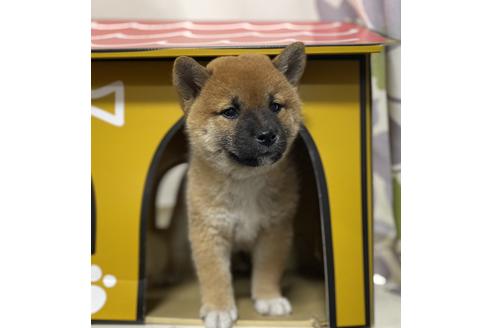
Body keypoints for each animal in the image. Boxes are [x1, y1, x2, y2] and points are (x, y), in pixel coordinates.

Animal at [172, 42, 304, 328]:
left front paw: (268, 298)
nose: (267, 135)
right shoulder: (209, 231)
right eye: (230, 112)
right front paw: (219, 309)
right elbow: (214, 275)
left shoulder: (275, 231)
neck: (246, 181)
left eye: (275, 106)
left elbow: (268, 269)